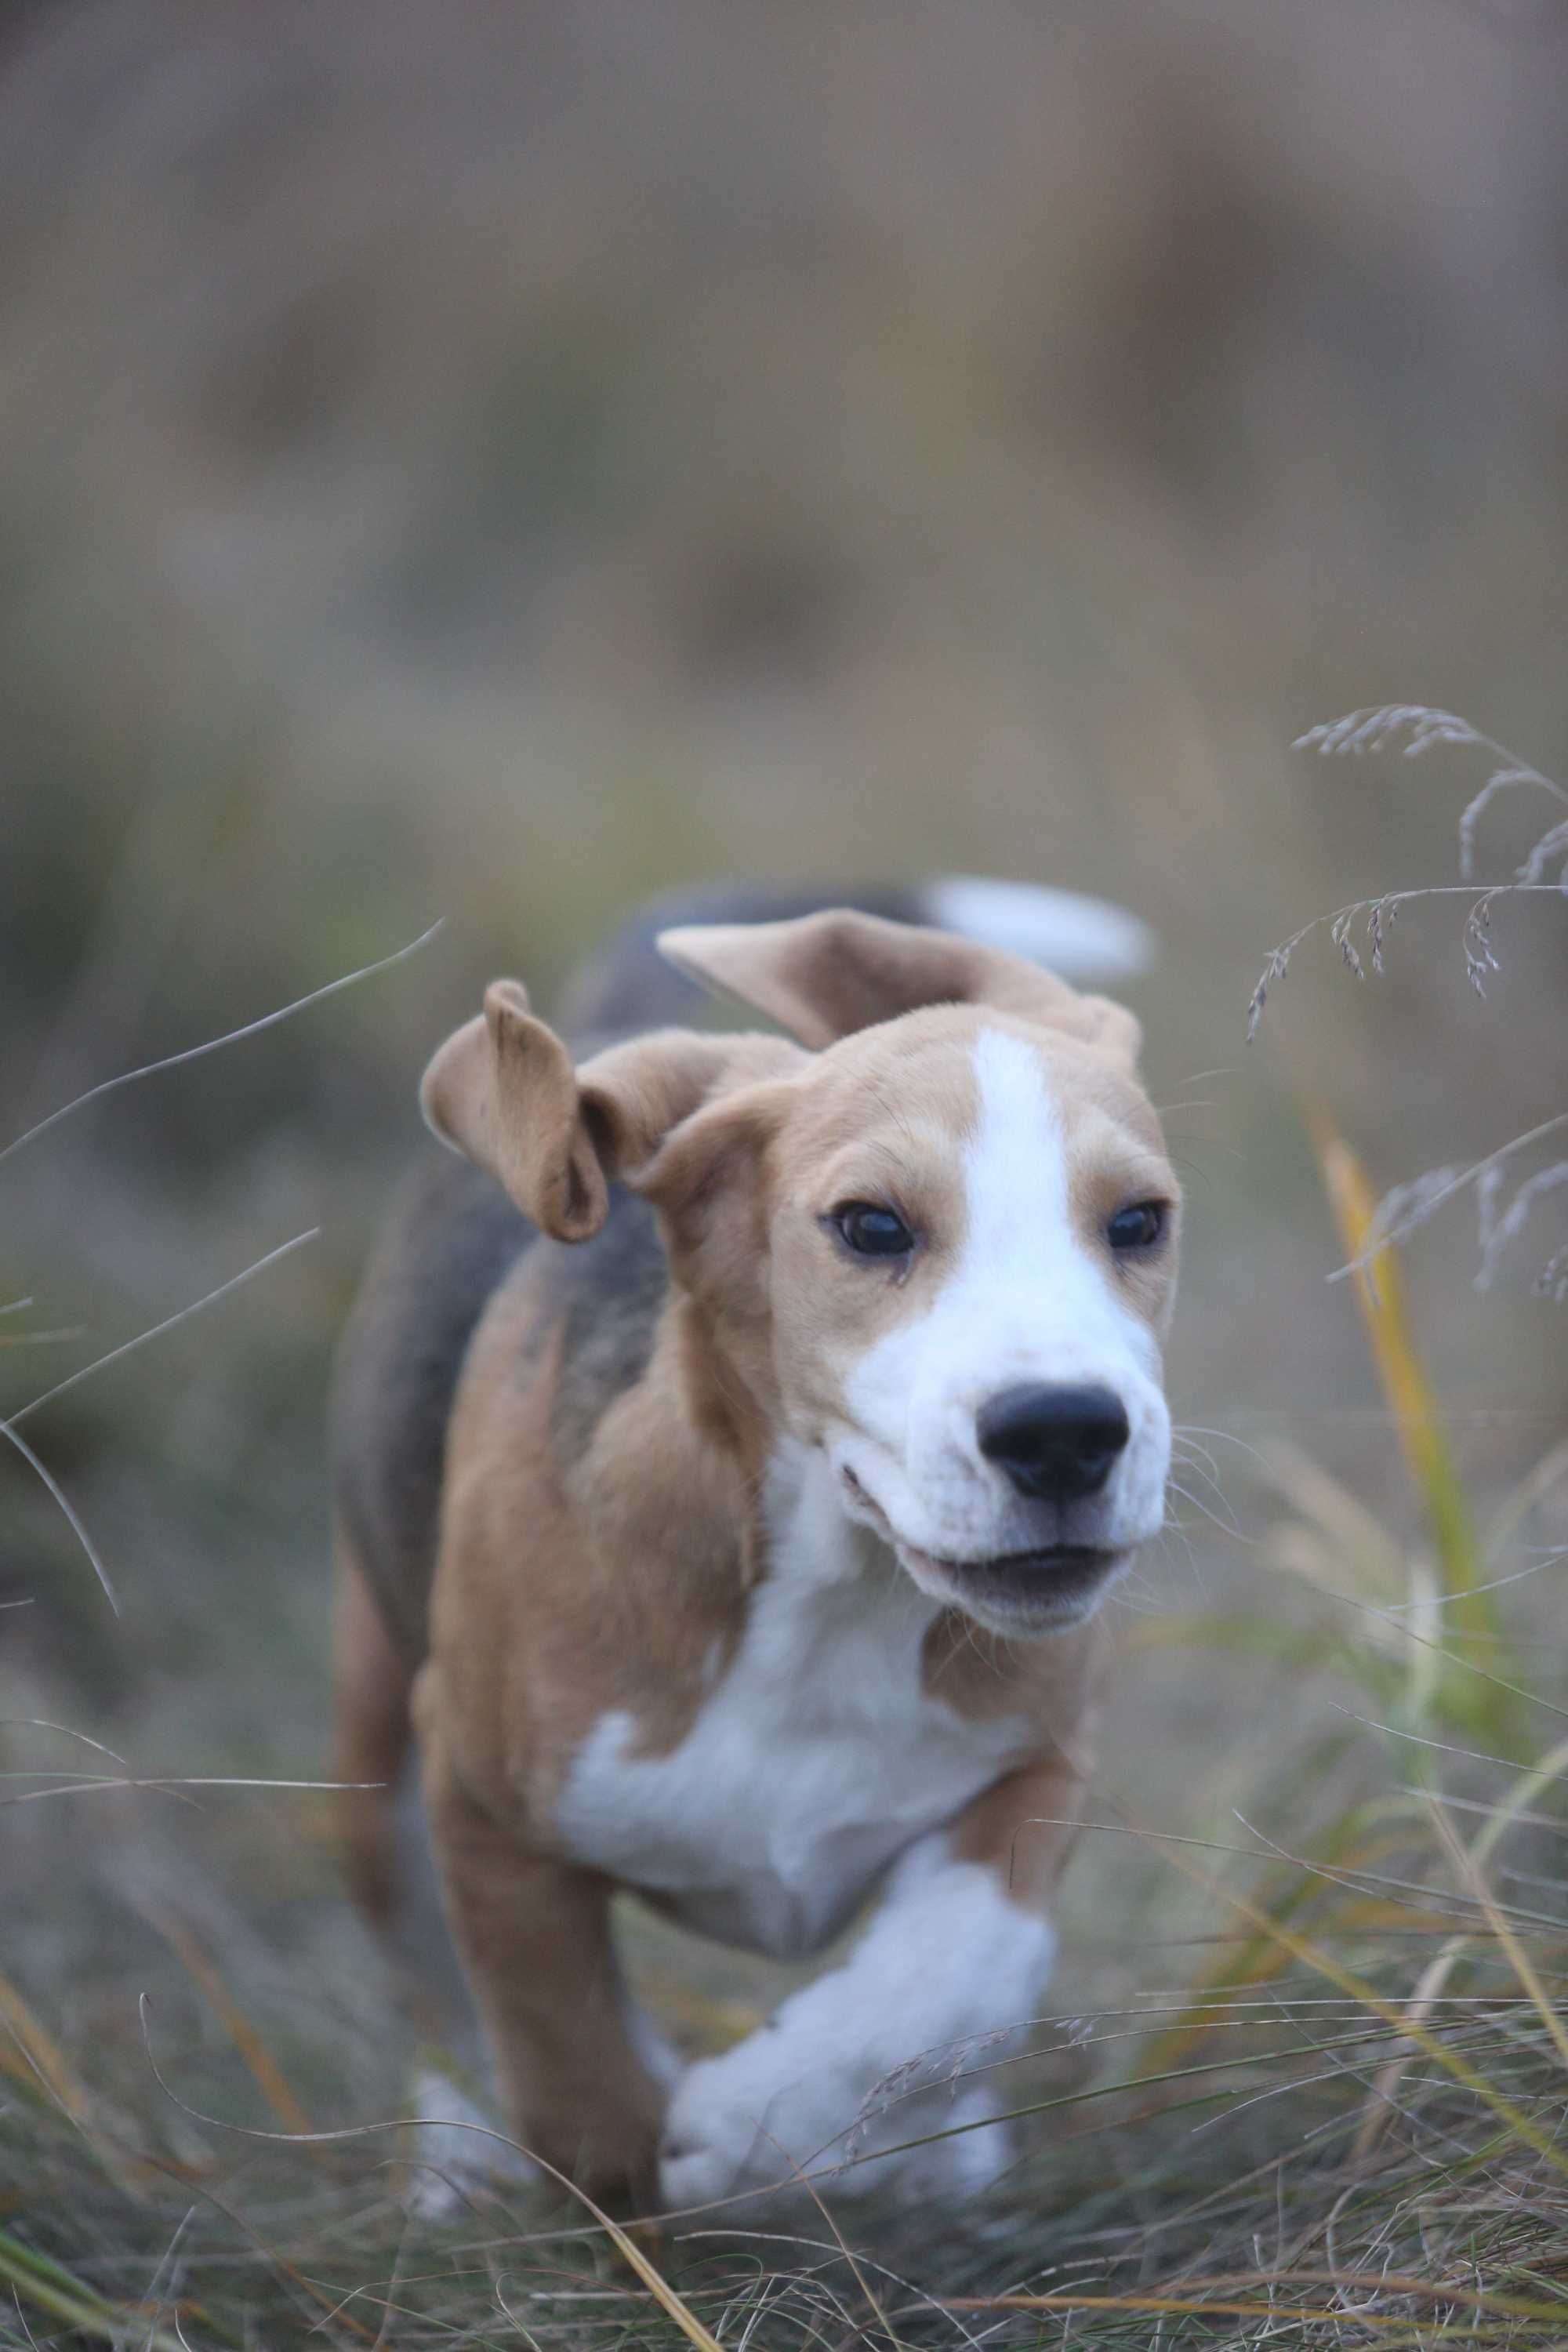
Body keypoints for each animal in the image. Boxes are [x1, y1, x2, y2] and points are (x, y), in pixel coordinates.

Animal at [331, 875, 1175, 2211]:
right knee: (437, 1996)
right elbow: (571, 2069)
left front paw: (764, 2117)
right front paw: (655, 2168)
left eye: (1139, 1222)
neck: (830, 1596)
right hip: (376, 1754)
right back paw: (462, 2160)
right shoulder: (485, 1812)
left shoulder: (1036, 1763)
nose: (1064, 1432)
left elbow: (962, 1966)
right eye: (870, 1228)